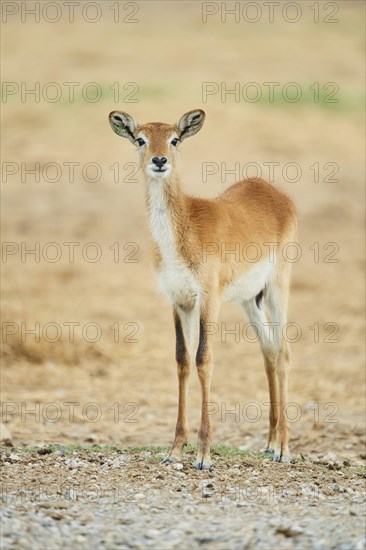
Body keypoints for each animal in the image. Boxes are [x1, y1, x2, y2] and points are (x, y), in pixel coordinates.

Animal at [108, 109, 298, 470]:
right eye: (140, 138)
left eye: (174, 139)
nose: (159, 161)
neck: (185, 230)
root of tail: (271, 189)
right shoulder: (178, 300)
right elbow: (182, 359)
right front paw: (174, 450)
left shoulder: (209, 298)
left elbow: (204, 359)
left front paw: (204, 455)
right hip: (249, 300)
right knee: (268, 350)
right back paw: (268, 444)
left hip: (278, 287)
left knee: (283, 352)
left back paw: (283, 448)